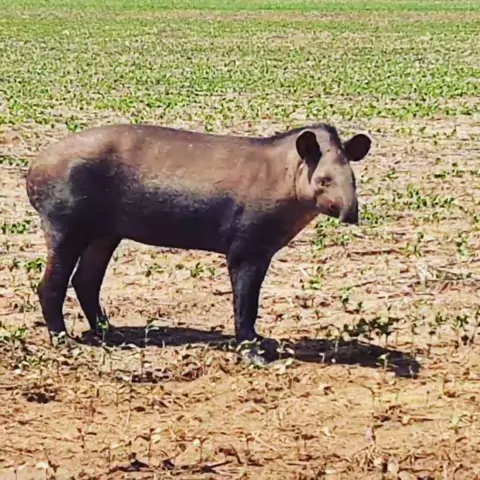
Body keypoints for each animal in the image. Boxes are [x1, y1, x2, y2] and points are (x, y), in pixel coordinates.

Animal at [25, 122, 372, 365]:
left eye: (354, 179)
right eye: (324, 180)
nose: (351, 214)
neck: (287, 176)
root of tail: (32, 169)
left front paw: (263, 342)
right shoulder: (246, 246)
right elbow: (245, 304)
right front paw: (253, 353)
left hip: (105, 231)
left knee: (86, 280)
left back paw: (111, 332)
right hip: (65, 221)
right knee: (52, 283)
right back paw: (63, 340)